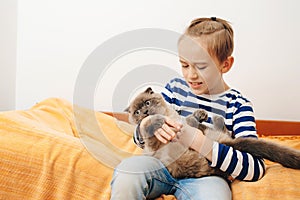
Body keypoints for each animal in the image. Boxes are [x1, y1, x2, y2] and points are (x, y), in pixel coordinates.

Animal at [125, 86, 300, 179]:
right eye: (137, 112)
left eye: (147, 103)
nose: (145, 112)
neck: (168, 116)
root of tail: (224, 144)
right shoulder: (154, 144)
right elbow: (147, 127)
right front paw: (154, 121)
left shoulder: (183, 124)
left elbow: (188, 120)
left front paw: (200, 113)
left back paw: (211, 117)